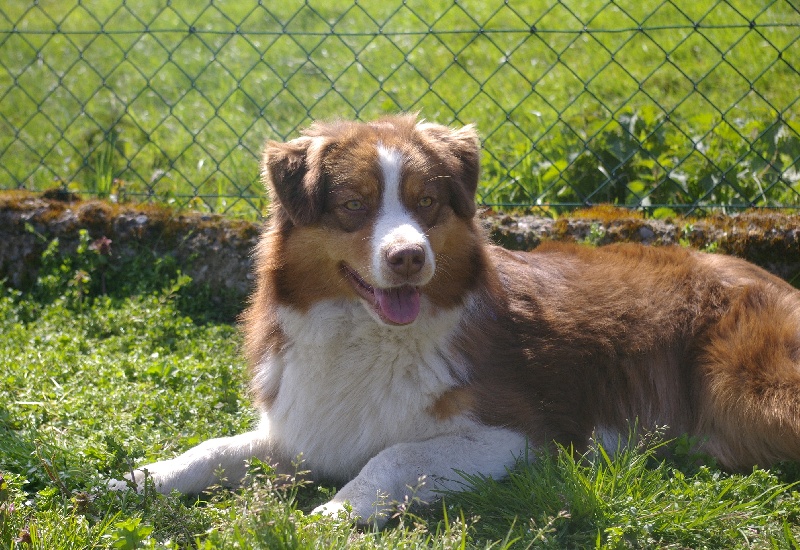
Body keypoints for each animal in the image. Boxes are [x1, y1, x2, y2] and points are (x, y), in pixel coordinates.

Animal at [114, 114, 800, 528]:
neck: (366, 336)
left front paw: (333, 516)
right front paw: (131, 481)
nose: (409, 256)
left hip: (753, 390)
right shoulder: (304, 431)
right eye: (354, 206)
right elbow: (208, 451)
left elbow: (391, 457)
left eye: (426, 202)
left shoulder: (520, 435)